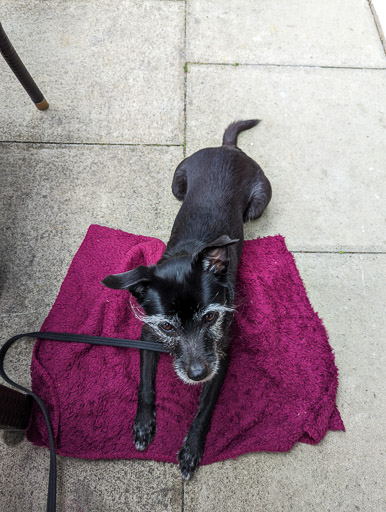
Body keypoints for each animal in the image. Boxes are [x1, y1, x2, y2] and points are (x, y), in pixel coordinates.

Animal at [102, 121, 272, 480]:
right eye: (167, 326)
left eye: (210, 317)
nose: (196, 374)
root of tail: (227, 148)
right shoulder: (147, 335)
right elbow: (145, 385)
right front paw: (143, 425)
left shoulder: (221, 356)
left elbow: (204, 410)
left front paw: (192, 450)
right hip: (177, 184)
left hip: (257, 204)